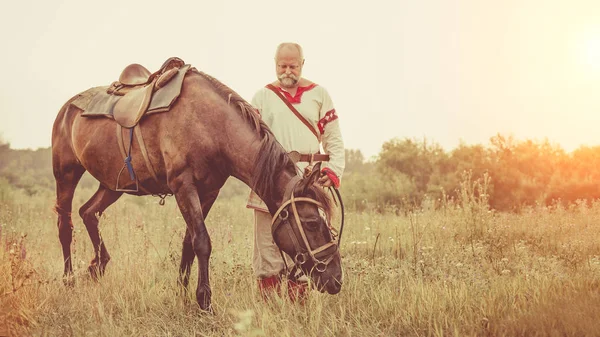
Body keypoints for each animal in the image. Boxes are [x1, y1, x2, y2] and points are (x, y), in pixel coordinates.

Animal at [52, 64, 342, 308]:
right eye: (311, 223)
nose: (335, 278)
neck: (210, 126)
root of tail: (66, 108)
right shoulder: (184, 186)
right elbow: (202, 241)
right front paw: (204, 301)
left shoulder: (209, 191)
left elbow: (188, 242)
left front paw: (182, 293)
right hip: (66, 174)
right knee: (65, 225)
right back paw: (68, 279)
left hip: (114, 185)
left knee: (89, 213)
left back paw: (97, 265)